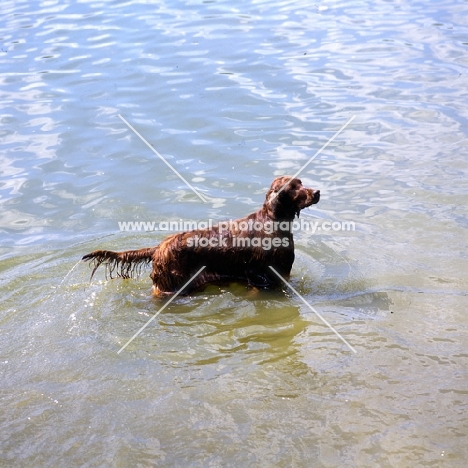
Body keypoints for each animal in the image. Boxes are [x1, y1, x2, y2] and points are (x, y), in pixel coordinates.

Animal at [82, 177, 320, 294]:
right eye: (293, 187)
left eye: (301, 182)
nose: (317, 192)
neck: (273, 222)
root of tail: (158, 247)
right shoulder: (259, 275)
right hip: (172, 285)